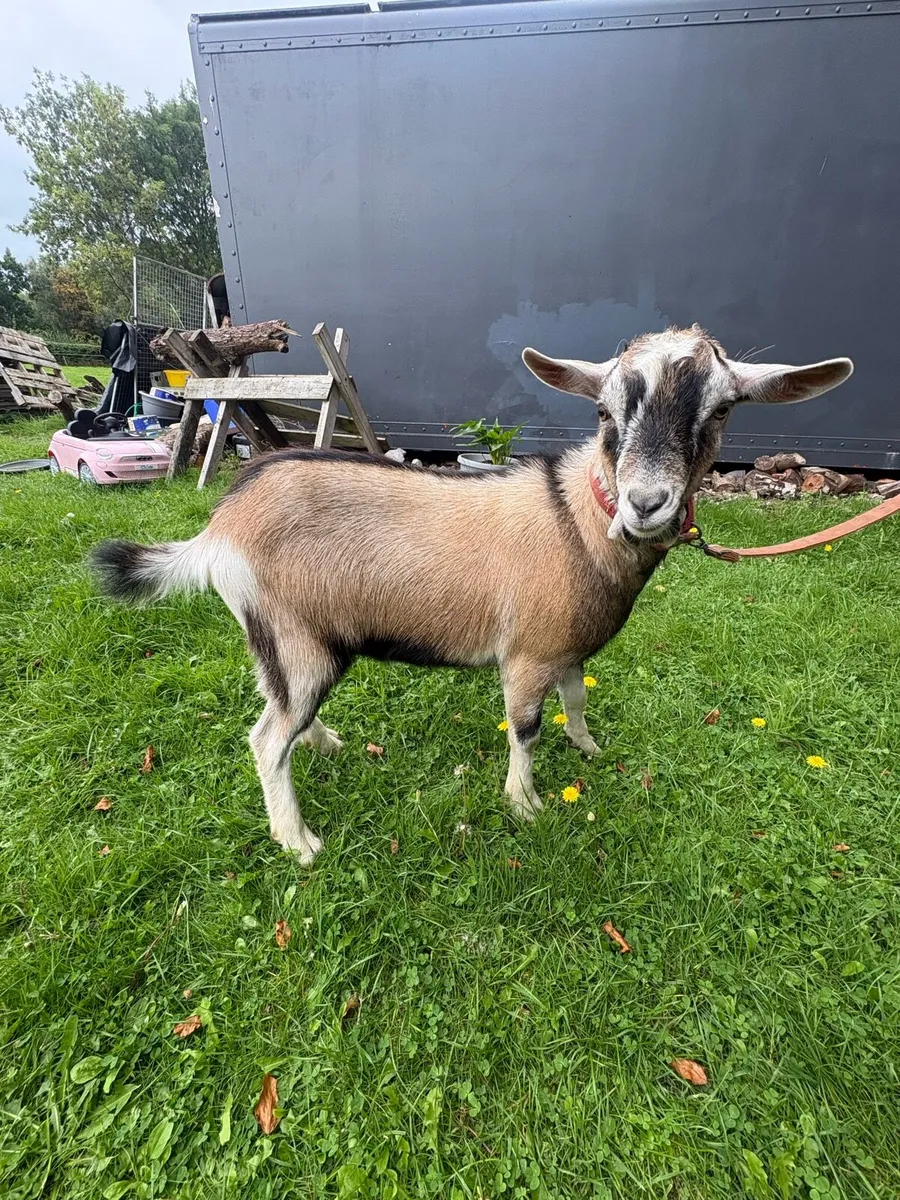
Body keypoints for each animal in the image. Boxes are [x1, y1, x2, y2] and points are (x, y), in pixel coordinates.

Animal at [90, 326, 852, 863]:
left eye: (721, 410)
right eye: (604, 412)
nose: (645, 504)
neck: (577, 520)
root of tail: (220, 528)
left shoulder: (567, 646)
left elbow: (577, 699)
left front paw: (588, 747)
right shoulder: (526, 654)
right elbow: (525, 728)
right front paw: (525, 803)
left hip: (277, 639)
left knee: (276, 711)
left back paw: (325, 744)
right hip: (297, 638)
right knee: (265, 738)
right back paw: (299, 842)